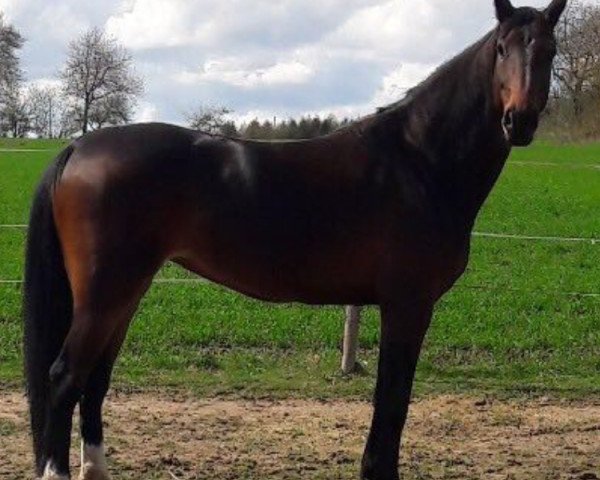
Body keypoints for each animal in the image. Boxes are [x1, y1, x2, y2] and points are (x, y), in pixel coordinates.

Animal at [23, 1, 568, 478]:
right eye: (502, 47)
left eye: (550, 50)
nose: (519, 120)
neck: (418, 158)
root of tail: (79, 145)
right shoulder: (407, 305)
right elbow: (392, 404)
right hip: (105, 295)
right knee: (65, 378)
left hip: (125, 293)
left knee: (95, 381)